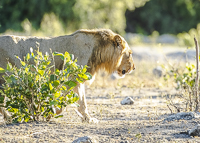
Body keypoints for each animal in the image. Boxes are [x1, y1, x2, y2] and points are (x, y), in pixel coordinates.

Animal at [0, 28, 134, 123]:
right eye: (130, 53)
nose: (134, 68)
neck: (98, 51)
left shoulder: (79, 79)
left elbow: (82, 103)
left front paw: (88, 119)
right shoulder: (70, 78)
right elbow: (65, 100)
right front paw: (51, 113)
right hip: (6, 79)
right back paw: (9, 117)